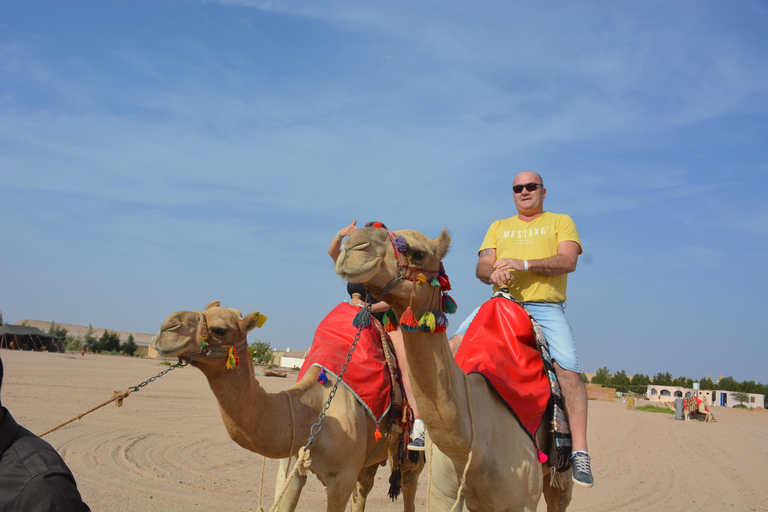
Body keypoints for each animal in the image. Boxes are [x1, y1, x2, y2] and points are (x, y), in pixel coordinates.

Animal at [152, 300, 424, 512]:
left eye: (220, 329)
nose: (166, 328)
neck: (313, 413)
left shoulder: (342, 477)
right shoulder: (292, 463)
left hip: (407, 452)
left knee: (409, 484)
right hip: (371, 457)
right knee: (363, 489)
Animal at [332, 229, 572, 512]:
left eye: (418, 253)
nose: (354, 246)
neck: (472, 446)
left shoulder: (521, 501)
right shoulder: (443, 494)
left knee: (560, 497)